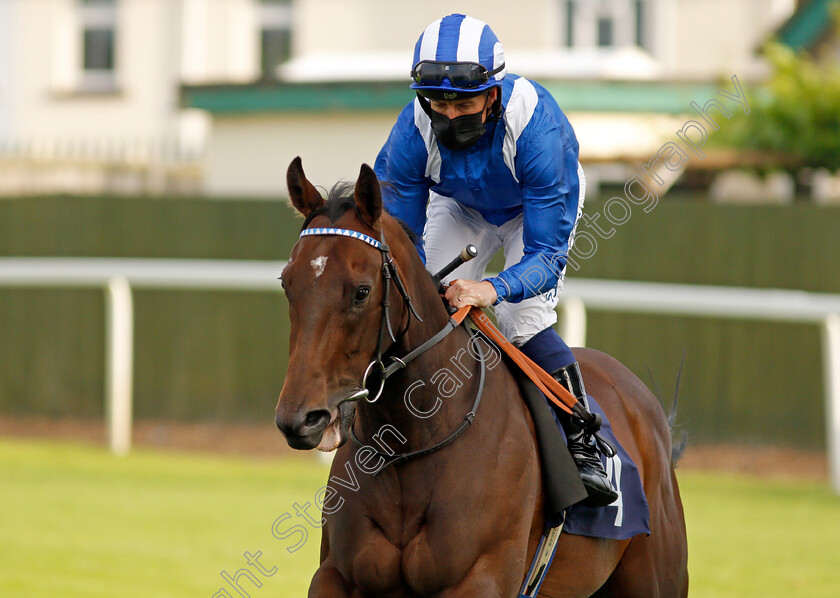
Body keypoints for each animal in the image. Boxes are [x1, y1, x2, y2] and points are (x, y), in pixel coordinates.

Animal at [278, 159, 688, 598]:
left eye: (361, 291)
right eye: (287, 283)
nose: (301, 419)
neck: (411, 446)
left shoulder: (480, 579)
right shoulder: (335, 575)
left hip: (655, 575)